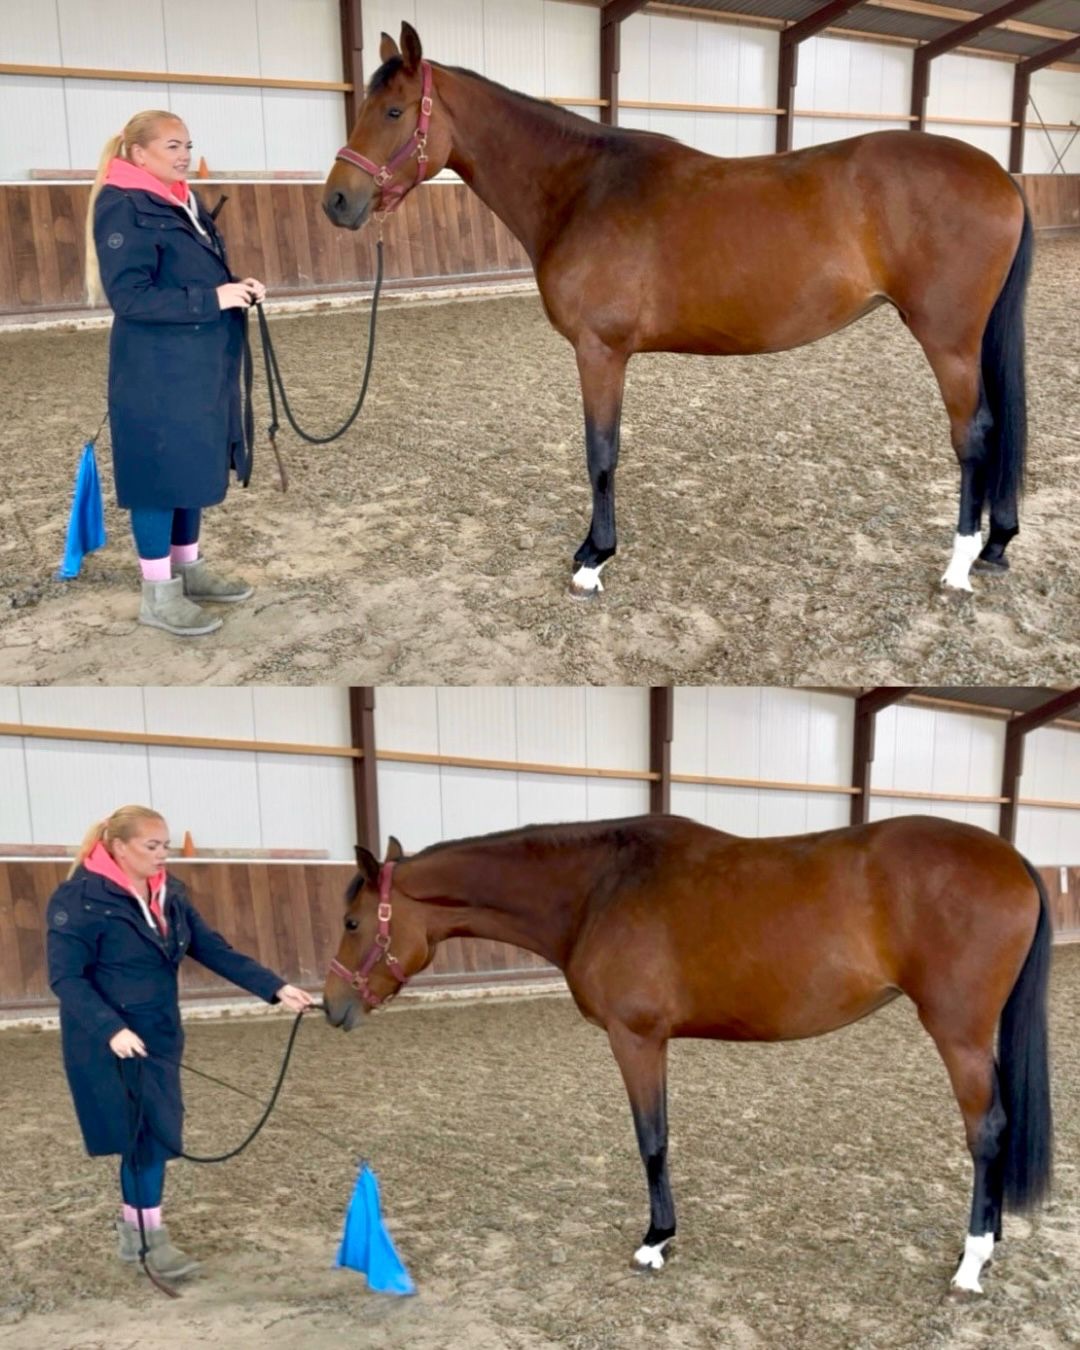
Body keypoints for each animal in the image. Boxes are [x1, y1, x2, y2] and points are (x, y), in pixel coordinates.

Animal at [323, 23, 1033, 599]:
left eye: (393, 111)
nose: (336, 202)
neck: (582, 189)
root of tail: (1000, 173)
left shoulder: (600, 351)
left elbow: (600, 452)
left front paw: (594, 559)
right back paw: (995, 544)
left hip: (948, 340)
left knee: (974, 435)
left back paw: (959, 564)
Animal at [323, 813, 1053, 1295]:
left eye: (353, 922)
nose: (331, 1008)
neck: (599, 888)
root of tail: (1012, 858)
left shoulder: (636, 1038)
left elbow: (652, 1140)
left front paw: (655, 1241)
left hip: (957, 1034)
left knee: (986, 1132)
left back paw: (971, 1262)